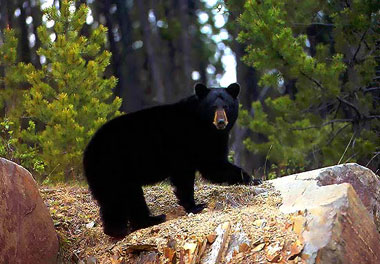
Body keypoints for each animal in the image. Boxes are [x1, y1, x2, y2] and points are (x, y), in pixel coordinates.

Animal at [84, 83, 252, 239]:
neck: (201, 124)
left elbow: (214, 164)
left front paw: (250, 179)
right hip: (115, 165)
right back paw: (143, 222)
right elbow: (186, 176)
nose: (221, 122)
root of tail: (89, 149)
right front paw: (195, 206)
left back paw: (125, 226)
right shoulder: (184, 143)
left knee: (117, 199)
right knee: (123, 196)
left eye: (226, 106)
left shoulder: (210, 140)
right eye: (213, 107)